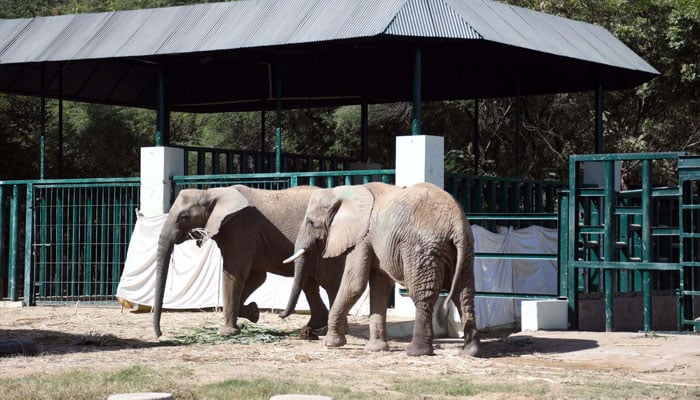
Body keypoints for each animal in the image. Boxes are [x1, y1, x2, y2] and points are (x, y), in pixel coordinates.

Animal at [152, 184, 344, 338]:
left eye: (183, 217)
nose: (160, 334)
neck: (212, 192)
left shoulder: (240, 229)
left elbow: (235, 274)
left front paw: (227, 332)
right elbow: (256, 277)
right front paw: (252, 313)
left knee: (325, 283)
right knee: (309, 284)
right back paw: (313, 327)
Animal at [282, 181, 478, 356]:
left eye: (310, 222)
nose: (281, 316)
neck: (343, 191)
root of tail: (456, 224)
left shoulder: (362, 236)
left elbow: (355, 283)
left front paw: (331, 344)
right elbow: (380, 287)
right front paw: (376, 349)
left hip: (422, 250)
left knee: (422, 295)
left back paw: (416, 352)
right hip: (466, 250)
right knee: (464, 293)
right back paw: (469, 352)